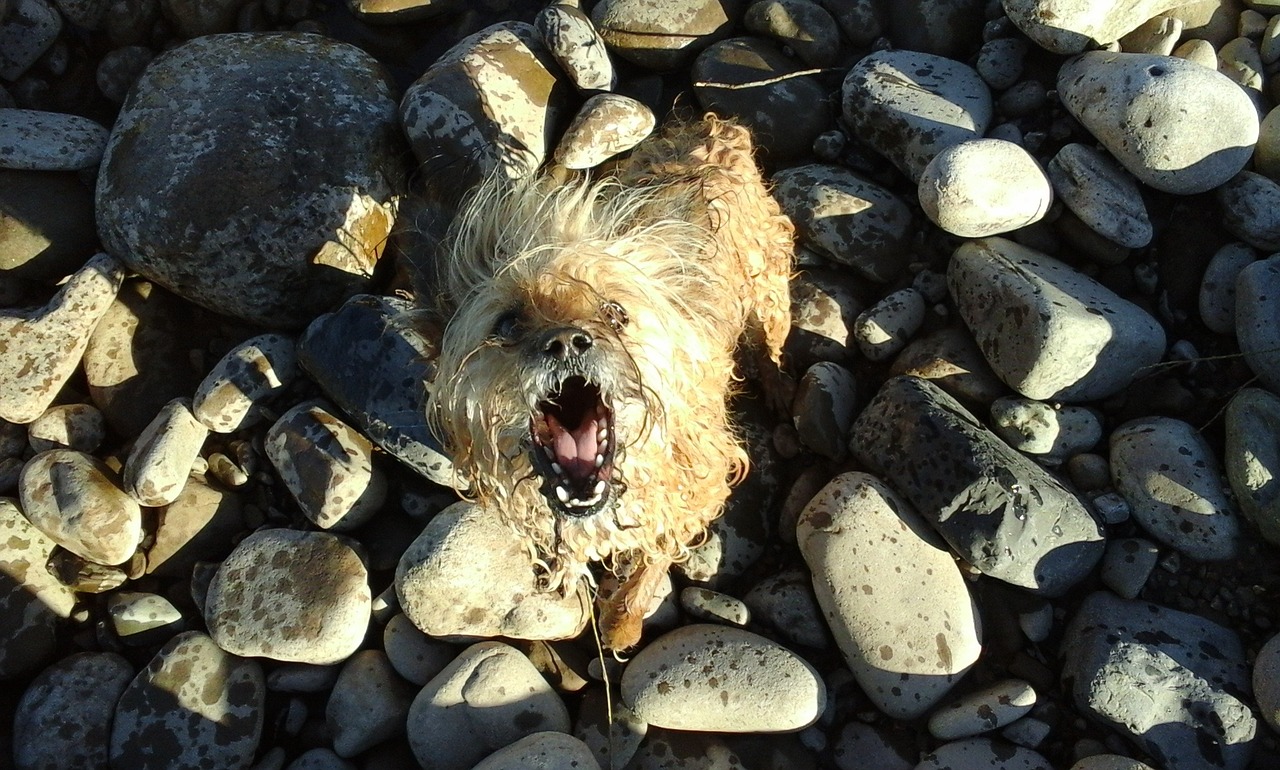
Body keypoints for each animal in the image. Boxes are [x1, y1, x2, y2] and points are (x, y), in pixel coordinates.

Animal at [424, 113, 793, 647]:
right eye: (508, 324)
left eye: (615, 313)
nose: (564, 341)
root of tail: (716, 129)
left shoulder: (699, 486)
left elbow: (657, 554)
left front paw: (623, 621)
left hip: (768, 288)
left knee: (771, 342)